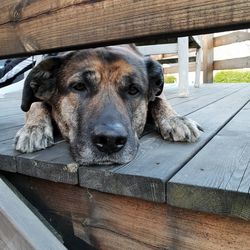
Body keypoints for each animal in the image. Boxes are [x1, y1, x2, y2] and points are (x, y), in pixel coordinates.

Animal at [14, 44, 203, 166]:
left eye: (133, 90)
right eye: (79, 86)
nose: (110, 141)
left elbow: (159, 99)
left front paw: (175, 119)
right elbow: (36, 105)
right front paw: (34, 128)